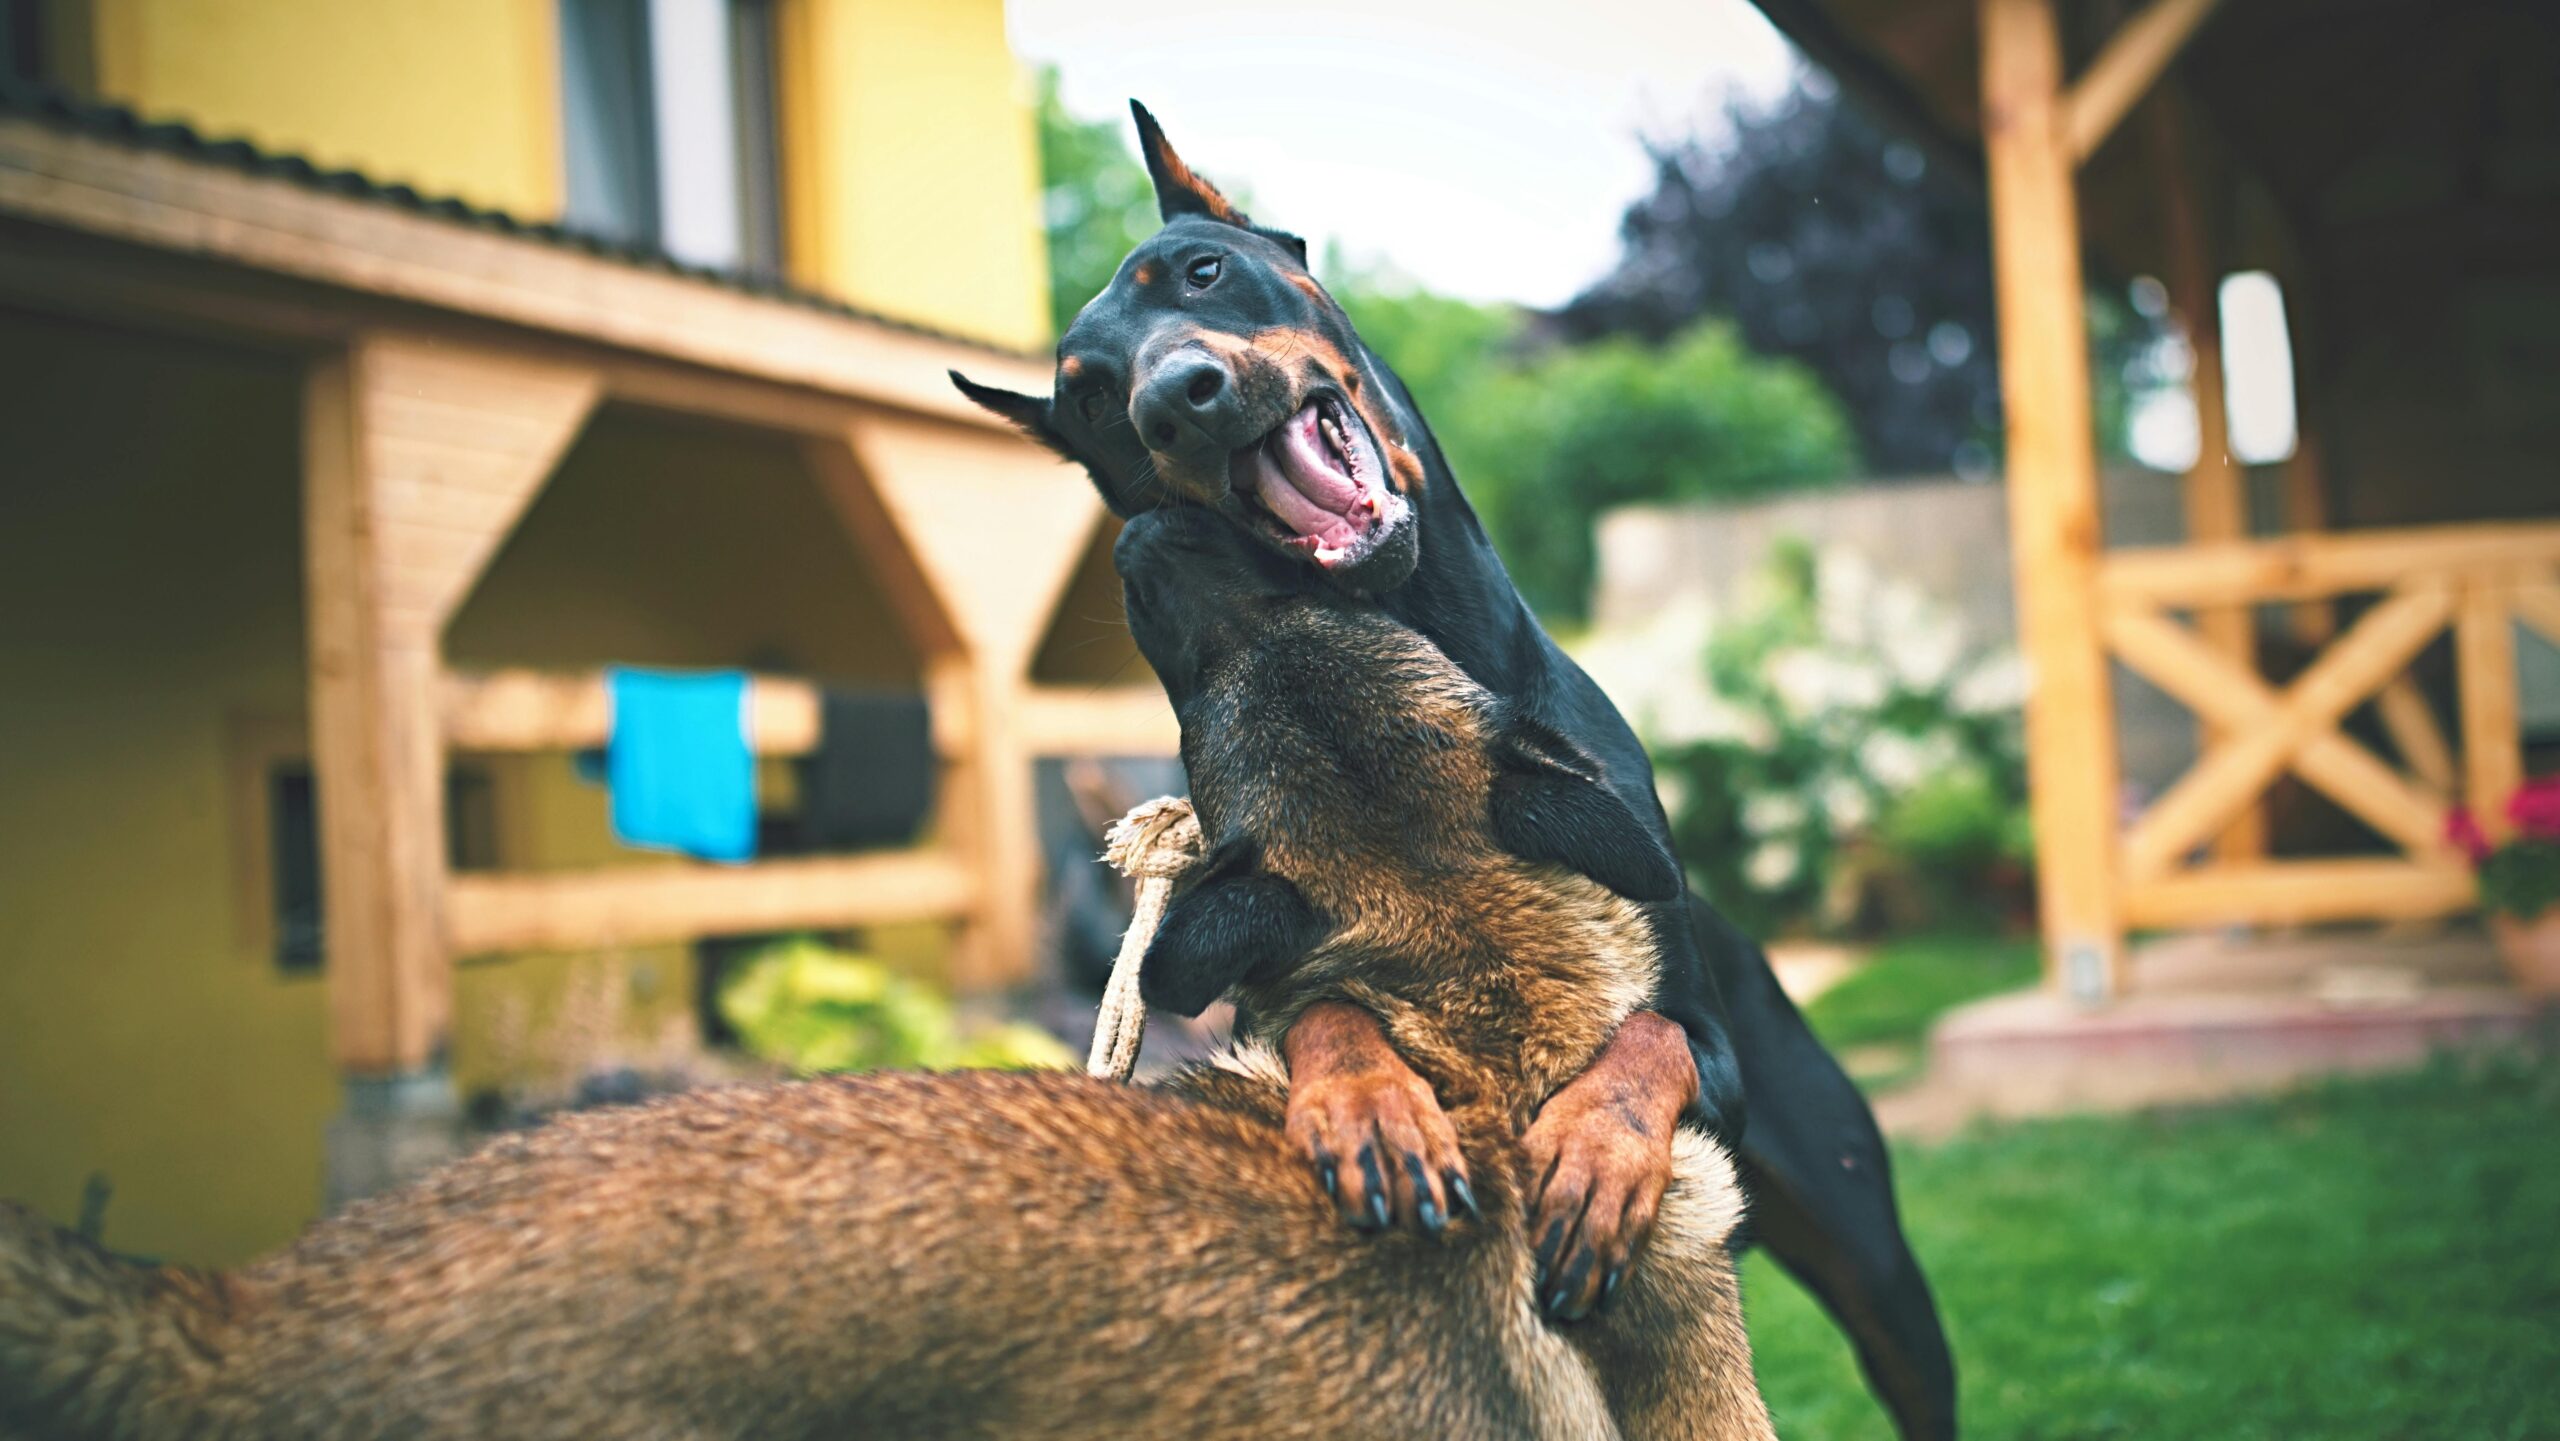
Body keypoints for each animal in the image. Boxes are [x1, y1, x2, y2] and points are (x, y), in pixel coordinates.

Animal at [962, 104, 1955, 1441]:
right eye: (1091, 398)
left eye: (1200, 273)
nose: (1176, 398)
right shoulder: (1264, 954)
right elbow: (1323, 1009)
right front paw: (1370, 1104)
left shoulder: (1717, 1057)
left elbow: (1655, 1038)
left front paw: (1593, 1152)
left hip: (1879, 1275)